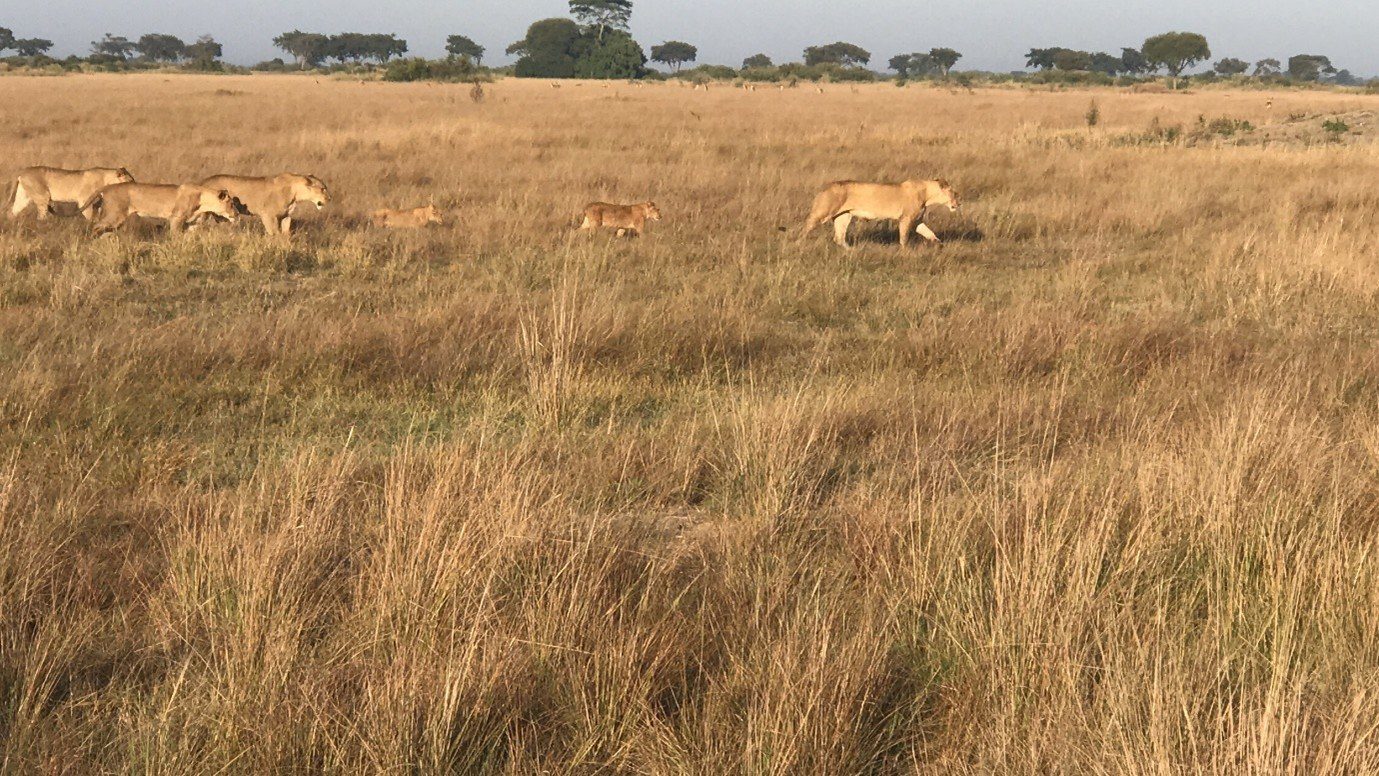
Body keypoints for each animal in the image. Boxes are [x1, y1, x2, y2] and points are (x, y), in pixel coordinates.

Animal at [80, 183, 241, 236]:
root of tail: (107, 187)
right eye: (232, 204)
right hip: (115, 215)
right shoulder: (176, 218)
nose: (237, 213)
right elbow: (175, 236)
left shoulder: (192, 223)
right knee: (95, 226)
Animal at [195, 173, 329, 236]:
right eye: (323, 189)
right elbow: (274, 233)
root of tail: (203, 181)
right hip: (204, 214)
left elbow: (286, 234)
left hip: (222, 217)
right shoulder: (268, 215)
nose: (330, 198)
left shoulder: (286, 216)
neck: (295, 193)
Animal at [801, 179, 959, 248]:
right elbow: (904, 238)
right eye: (953, 193)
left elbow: (929, 233)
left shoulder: (916, 221)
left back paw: (852, 251)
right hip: (823, 212)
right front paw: (905, 252)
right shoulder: (906, 218)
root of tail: (826, 187)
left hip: (844, 216)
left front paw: (939, 245)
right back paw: (799, 245)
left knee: (839, 238)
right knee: (806, 227)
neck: (927, 194)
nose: (958, 204)